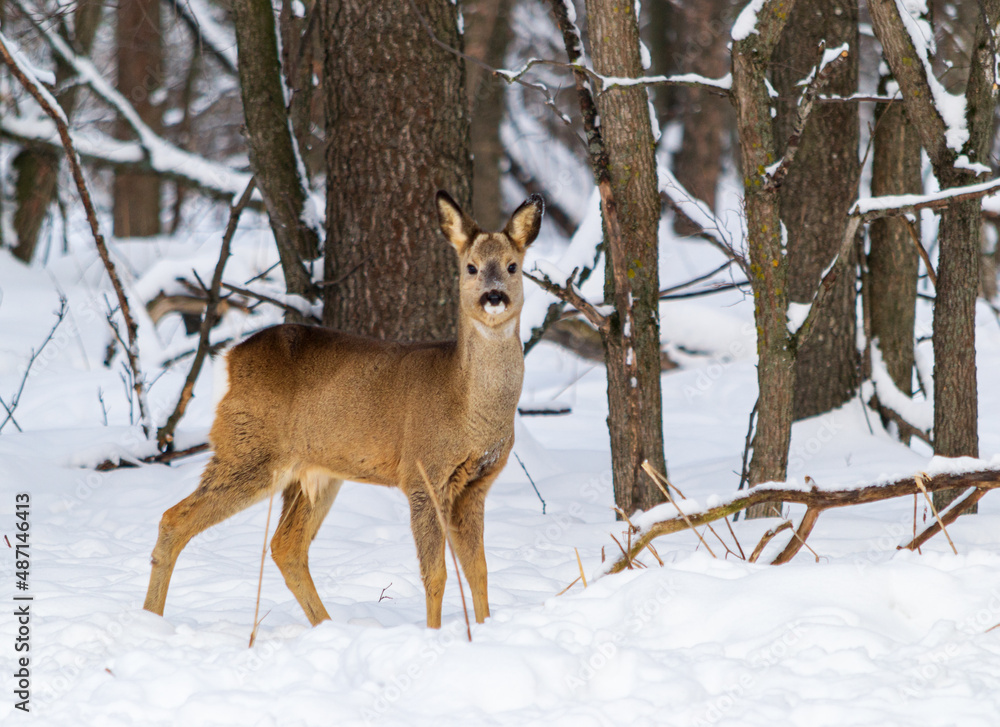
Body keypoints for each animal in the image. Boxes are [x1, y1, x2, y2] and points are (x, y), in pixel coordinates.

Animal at [143, 191, 544, 629]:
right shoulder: (422, 474)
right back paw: (150, 619)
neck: (467, 406)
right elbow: (435, 573)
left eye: (513, 266)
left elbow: (479, 569)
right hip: (248, 449)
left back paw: (326, 626)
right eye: (471, 267)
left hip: (313, 471)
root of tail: (228, 358)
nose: (494, 296)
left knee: (286, 545)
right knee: (173, 519)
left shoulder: (476, 485)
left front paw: (486, 628)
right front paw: (435, 633)